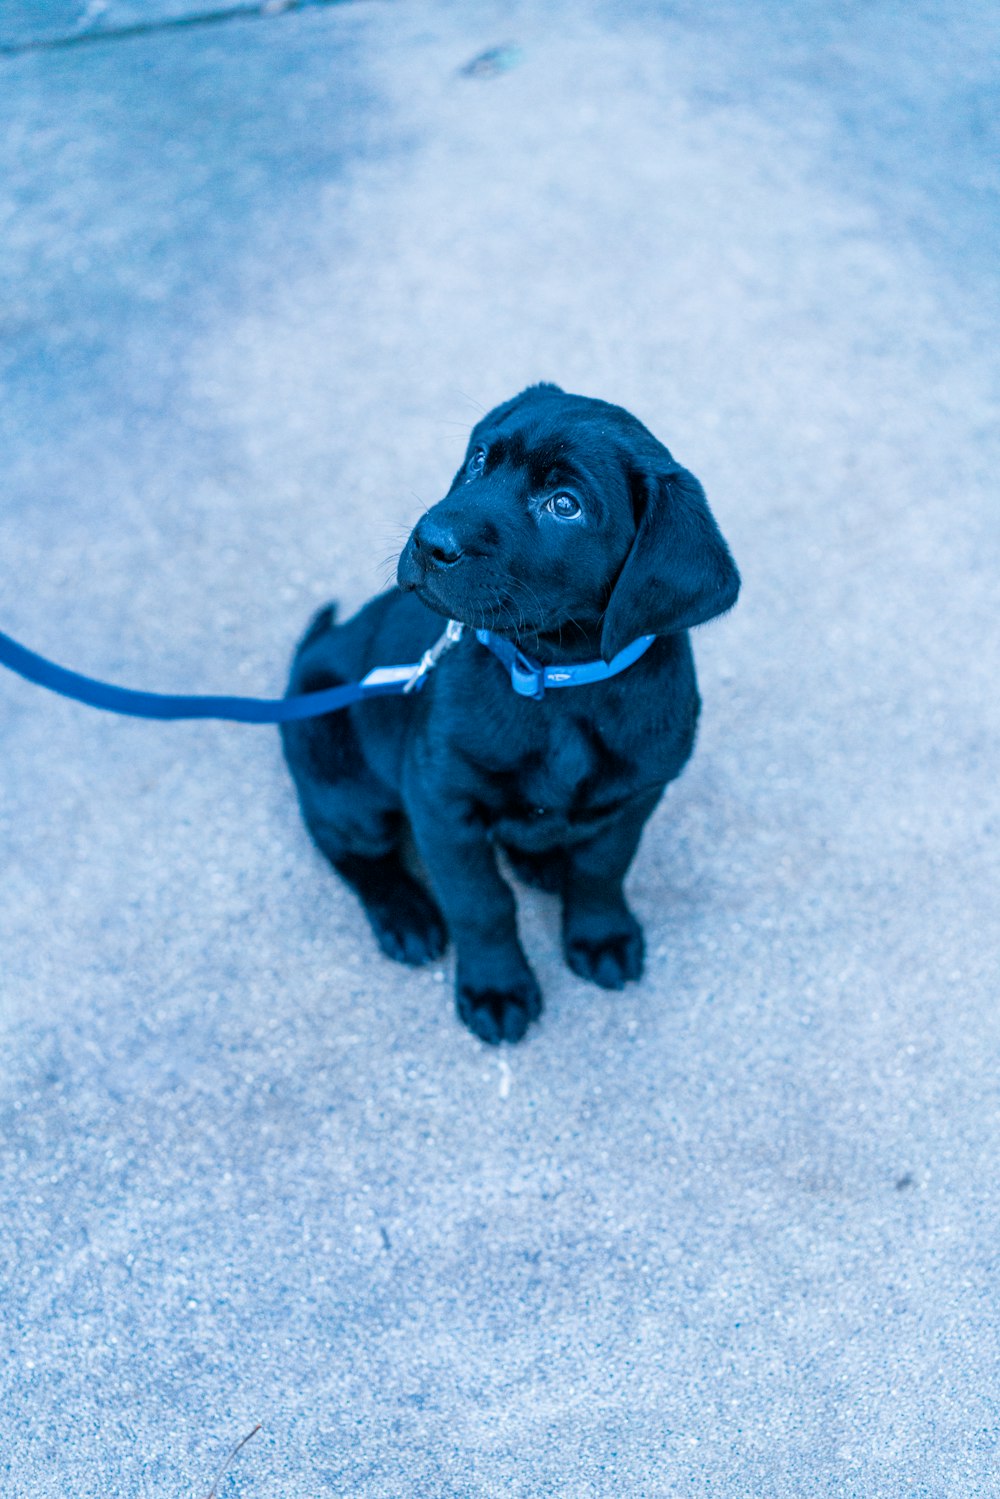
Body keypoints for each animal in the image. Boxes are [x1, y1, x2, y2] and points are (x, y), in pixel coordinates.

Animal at [280, 386, 734, 1043]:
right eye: (479, 460)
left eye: (565, 505)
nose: (429, 539)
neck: (556, 680)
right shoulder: (441, 799)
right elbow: (481, 903)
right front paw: (496, 988)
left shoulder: (636, 795)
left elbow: (603, 868)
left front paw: (601, 935)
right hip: (343, 781)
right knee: (346, 848)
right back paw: (405, 913)